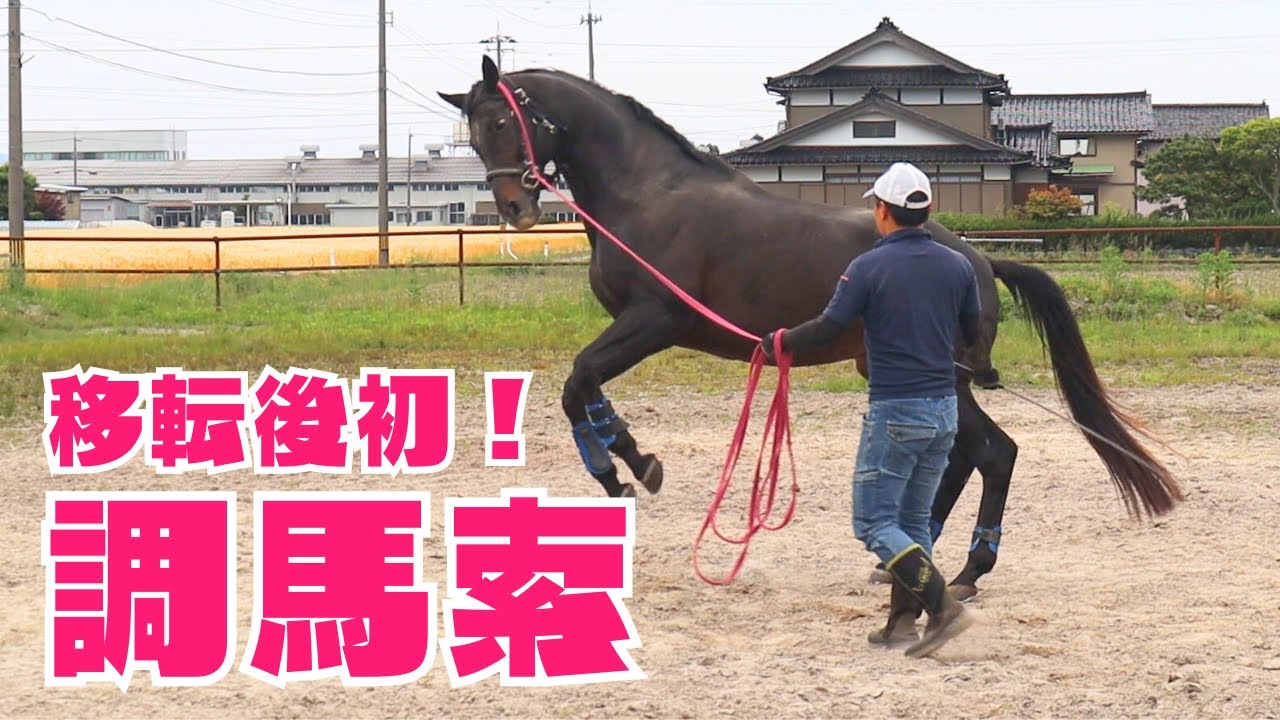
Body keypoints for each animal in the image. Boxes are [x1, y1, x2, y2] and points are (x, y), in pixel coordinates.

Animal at [438, 56, 1183, 597]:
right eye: (471, 132)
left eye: (503, 121)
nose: (513, 207)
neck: (647, 196)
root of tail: (977, 255)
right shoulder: (637, 326)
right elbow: (581, 389)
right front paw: (624, 462)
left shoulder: (654, 320)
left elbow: (579, 379)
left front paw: (629, 467)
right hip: (909, 373)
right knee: (967, 454)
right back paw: (910, 555)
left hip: (940, 374)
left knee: (994, 453)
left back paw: (966, 570)